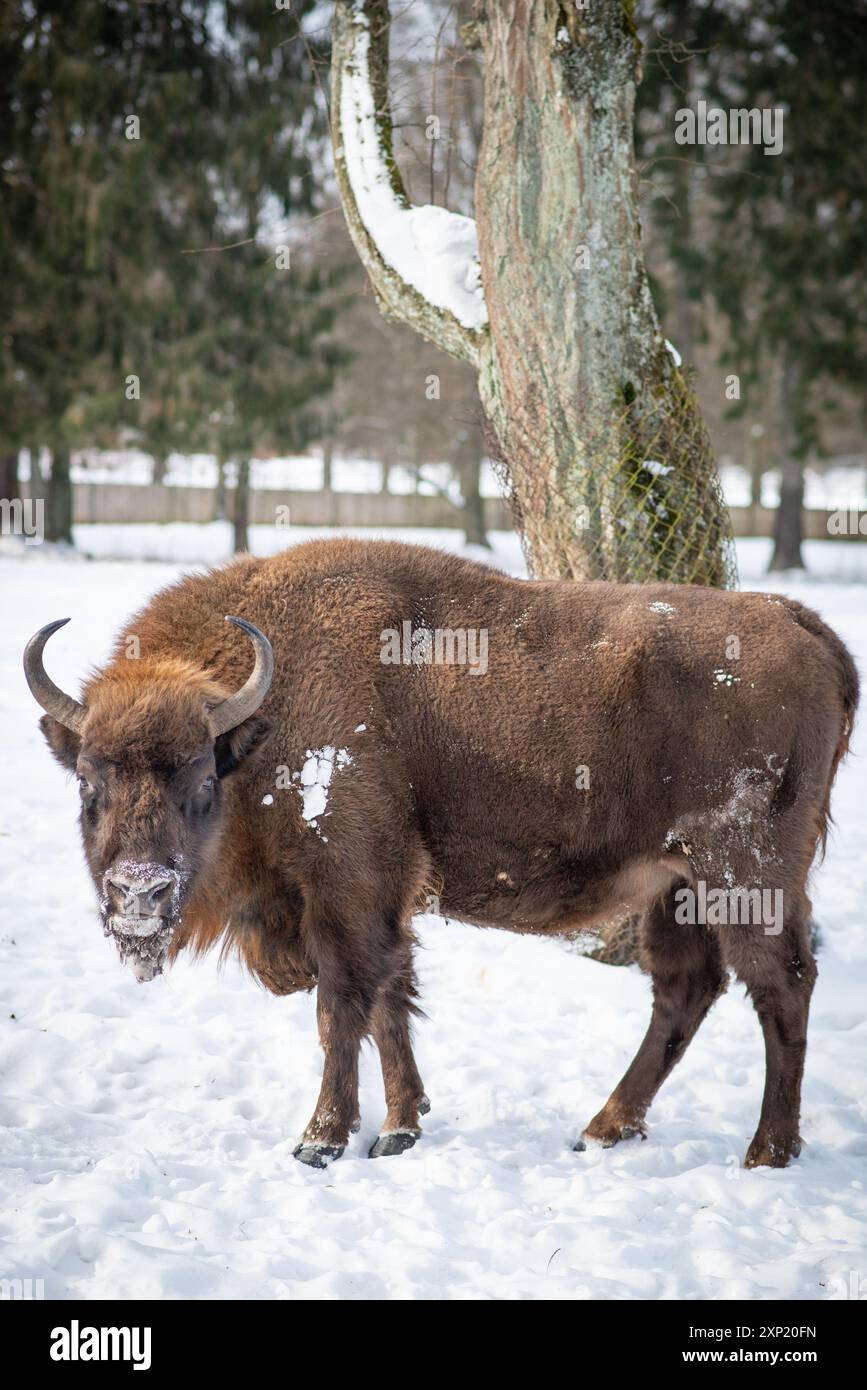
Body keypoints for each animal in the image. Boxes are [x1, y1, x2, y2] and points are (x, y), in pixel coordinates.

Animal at [23, 536, 855, 1167]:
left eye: (200, 777)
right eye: (88, 782)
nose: (138, 893)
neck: (262, 721)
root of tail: (804, 624)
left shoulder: (346, 883)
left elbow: (342, 1004)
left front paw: (321, 1141)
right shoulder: (381, 896)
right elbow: (392, 998)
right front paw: (400, 1128)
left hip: (743, 872)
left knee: (780, 983)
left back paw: (766, 1151)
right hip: (675, 881)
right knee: (687, 988)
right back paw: (604, 1129)